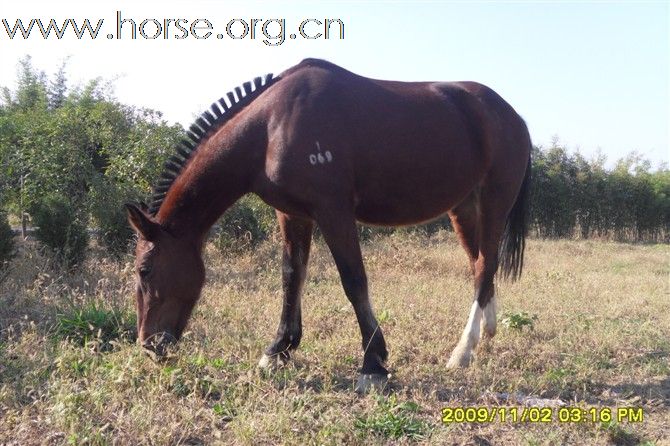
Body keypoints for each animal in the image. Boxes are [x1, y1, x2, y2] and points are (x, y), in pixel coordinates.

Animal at [126, 57, 532, 392]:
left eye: (145, 270)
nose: (148, 345)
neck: (271, 125)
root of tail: (514, 116)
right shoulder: (292, 214)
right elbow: (292, 278)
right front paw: (278, 350)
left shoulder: (332, 210)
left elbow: (354, 281)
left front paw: (373, 365)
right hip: (463, 208)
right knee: (481, 265)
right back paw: (486, 334)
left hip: (494, 201)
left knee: (484, 264)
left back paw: (462, 351)